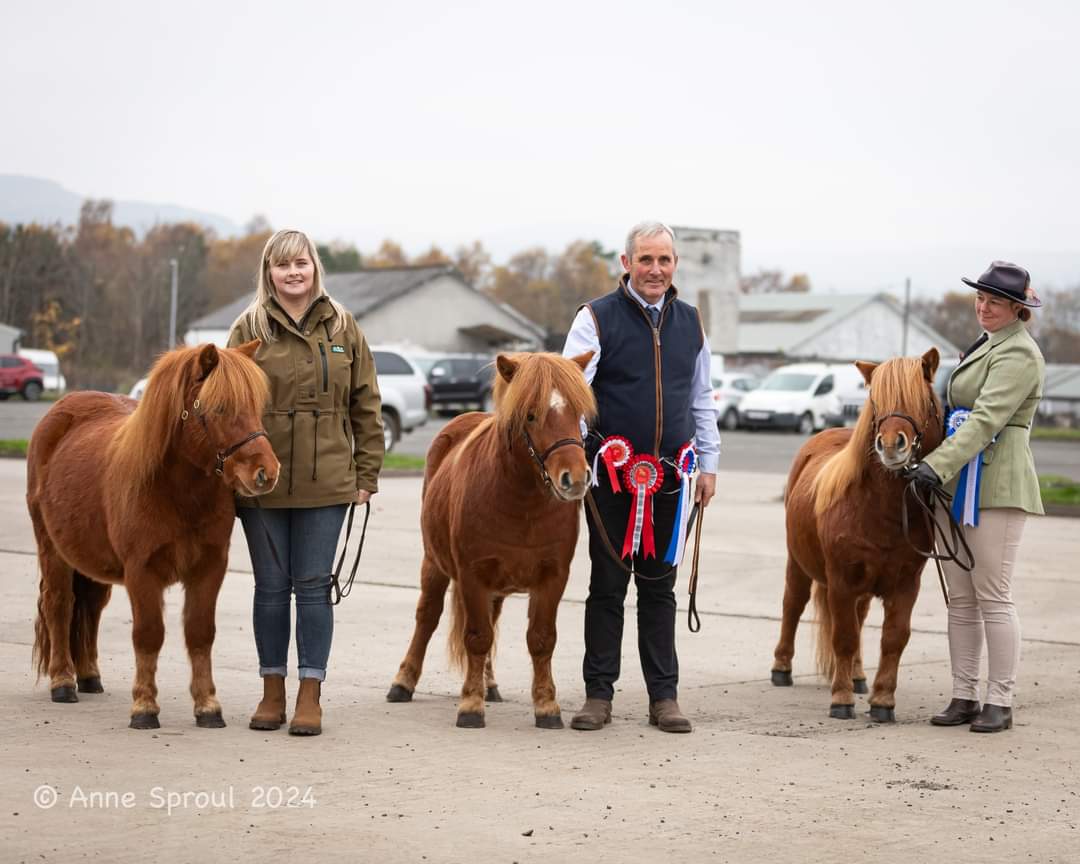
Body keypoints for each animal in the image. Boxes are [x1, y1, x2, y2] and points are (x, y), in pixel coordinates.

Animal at [28, 343, 278, 730]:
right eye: (220, 408)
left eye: (256, 406)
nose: (266, 472)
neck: (176, 491)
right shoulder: (141, 571)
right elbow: (148, 634)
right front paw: (144, 707)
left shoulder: (210, 568)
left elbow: (200, 632)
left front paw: (208, 707)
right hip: (52, 550)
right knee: (60, 606)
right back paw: (63, 682)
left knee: (91, 608)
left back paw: (89, 676)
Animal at [386, 349, 596, 730]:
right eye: (531, 415)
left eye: (578, 412)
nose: (574, 478)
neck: (520, 500)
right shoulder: (472, 575)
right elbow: (476, 636)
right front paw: (471, 705)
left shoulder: (553, 576)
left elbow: (541, 639)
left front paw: (547, 706)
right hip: (433, 563)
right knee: (428, 616)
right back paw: (403, 681)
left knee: (492, 621)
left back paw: (490, 684)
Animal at [773, 349, 941, 721]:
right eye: (875, 401)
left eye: (922, 400)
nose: (891, 446)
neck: (883, 509)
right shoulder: (841, 581)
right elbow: (844, 637)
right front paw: (841, 699)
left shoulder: (907, 583)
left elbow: (893, 638)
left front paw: (882, 701)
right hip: (798, 564)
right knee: (793, 605)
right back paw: (782, 668)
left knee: (861, 619)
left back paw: (859, 676)